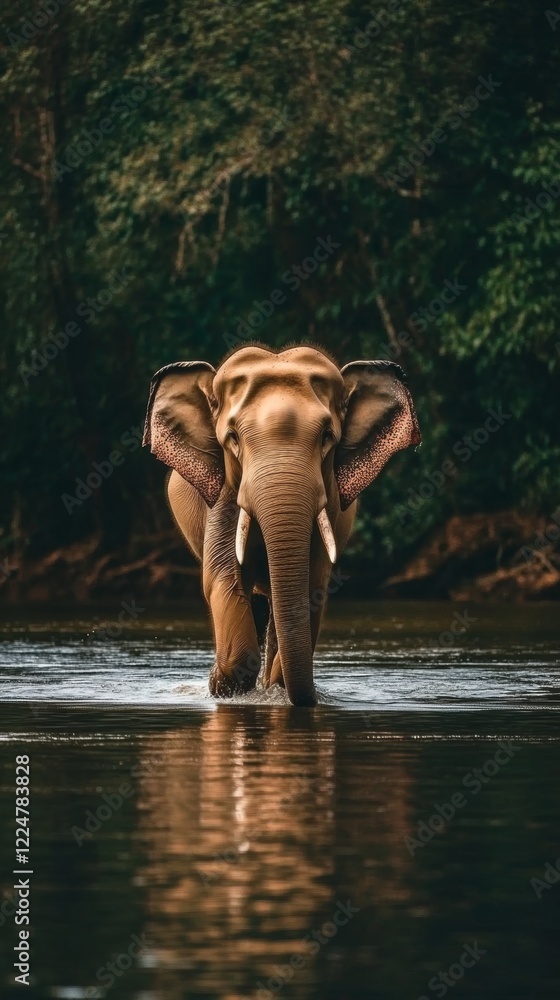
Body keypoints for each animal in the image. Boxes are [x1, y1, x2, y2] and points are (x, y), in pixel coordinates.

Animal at [143, 345, 420, 706]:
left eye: (327, 437)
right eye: (233, 438)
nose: (312, 697)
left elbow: (313, 584)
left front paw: (276, 688)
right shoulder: (223, 498)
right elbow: (222, 576)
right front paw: (220, 686)